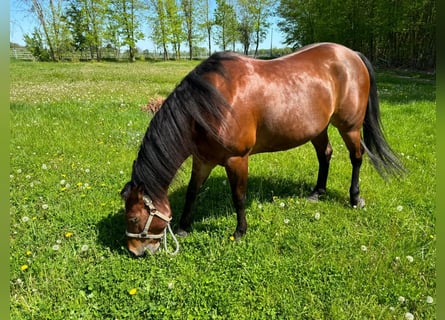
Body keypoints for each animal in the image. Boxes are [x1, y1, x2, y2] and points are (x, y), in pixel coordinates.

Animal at [119, 43, 404, 258]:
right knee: (325, 154)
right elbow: (192, 192)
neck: (209, 103)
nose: (135, 251)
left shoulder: (236, 160)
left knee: (356, 158)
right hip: (318, 129)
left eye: (133, 218)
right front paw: (183, 227)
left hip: (350, 127)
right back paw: (317, 192)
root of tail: (352, 54)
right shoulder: (202, 159)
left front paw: (239, 232)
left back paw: (355, 198)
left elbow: (238, 197)